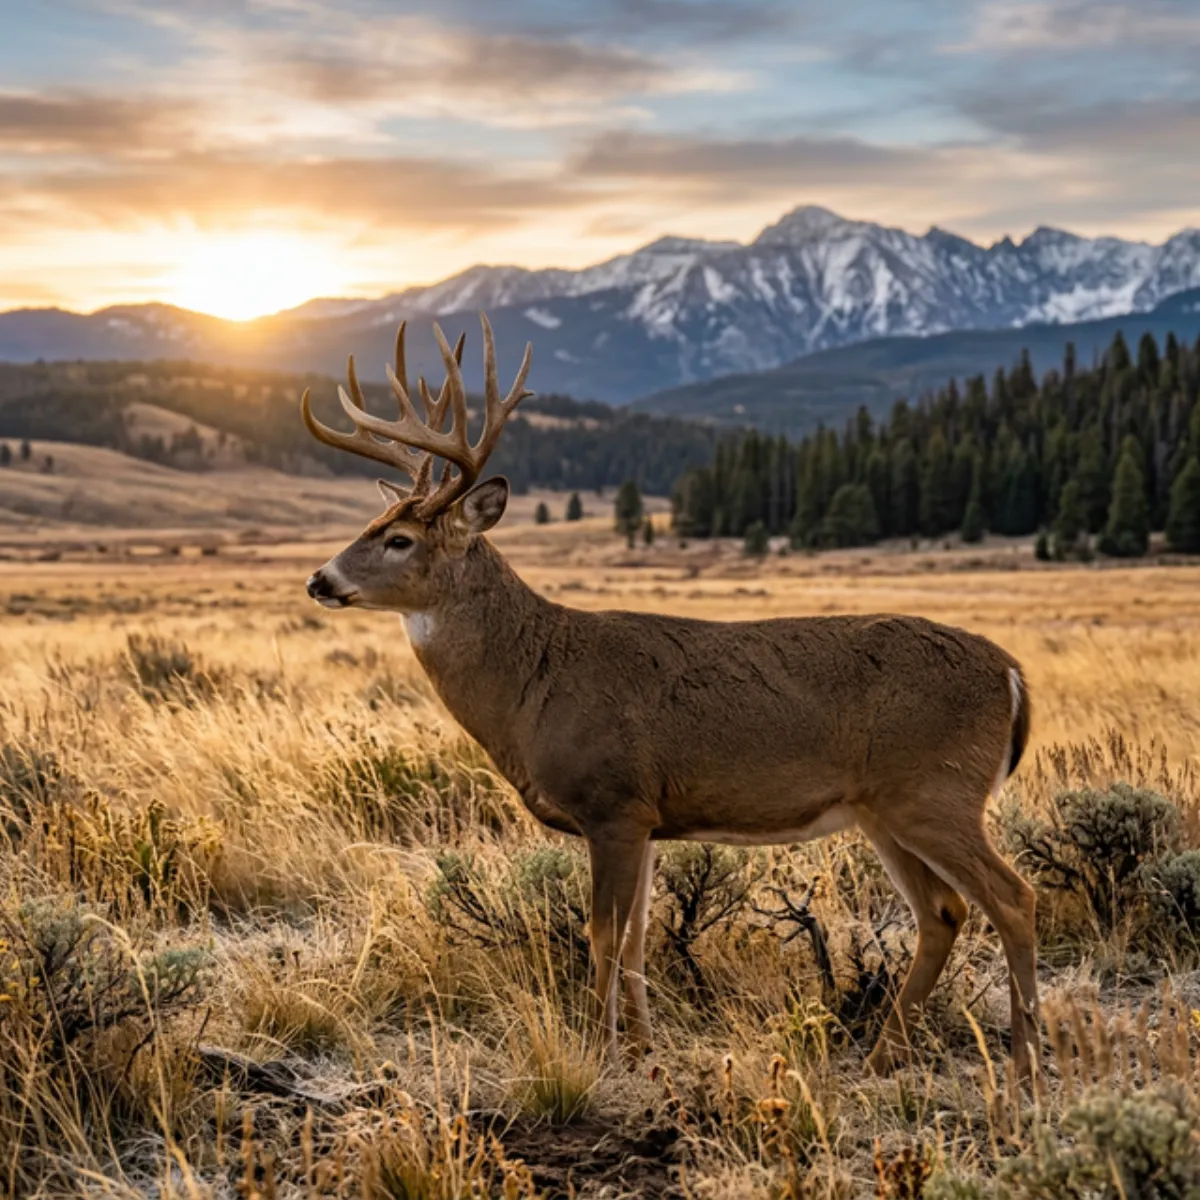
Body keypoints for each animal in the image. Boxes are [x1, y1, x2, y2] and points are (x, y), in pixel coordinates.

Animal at [302, 315, 1040, 1078]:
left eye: (397, 538)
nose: (320, 580)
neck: (531, 683)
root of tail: (1012, 673)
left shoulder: (614, 802)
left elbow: (602, 935)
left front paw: (597, 1051)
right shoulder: (650, 818)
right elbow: (635, 938)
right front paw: (643, 1050)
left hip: (936, 790)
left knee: (1014, 899)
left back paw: (1024, 1065)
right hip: (884, 808)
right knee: (944, 912)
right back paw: (882, 1056)